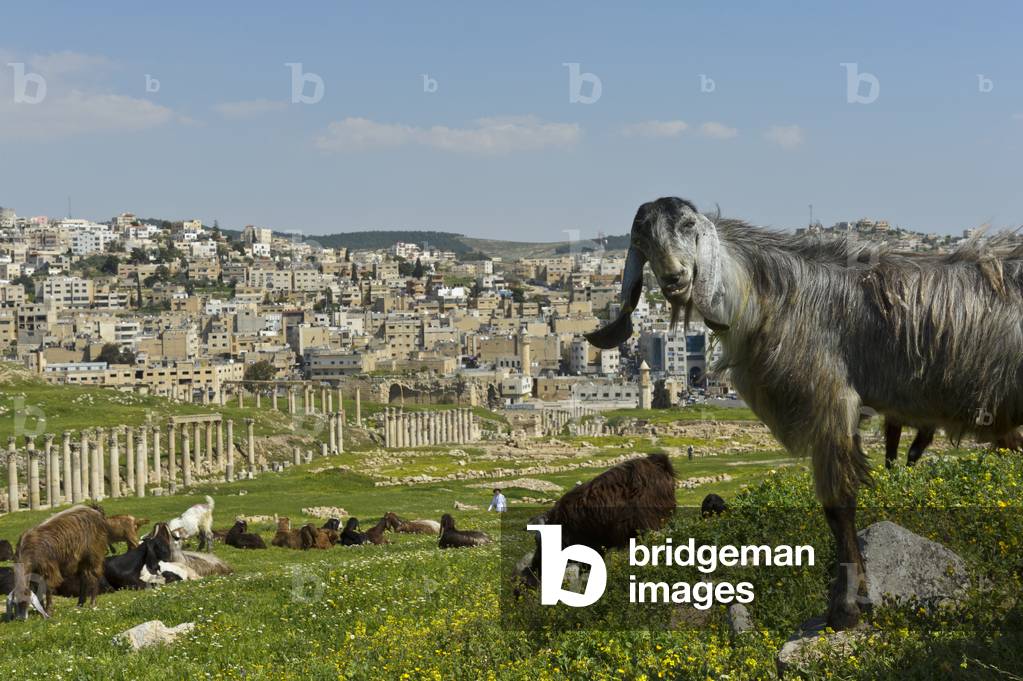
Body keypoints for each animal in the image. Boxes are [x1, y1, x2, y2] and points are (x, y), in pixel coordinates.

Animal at [585, 197, 1023, 628]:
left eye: (689, 226)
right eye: (642, 239)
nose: (675, 278)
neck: (776, 294)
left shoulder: (830, 404)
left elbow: (838, 505)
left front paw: (845, 608)